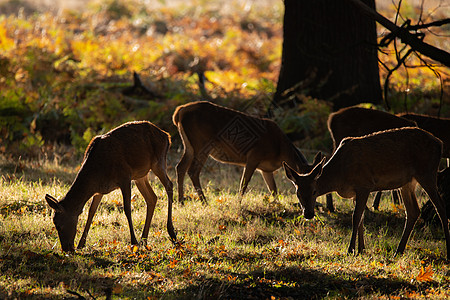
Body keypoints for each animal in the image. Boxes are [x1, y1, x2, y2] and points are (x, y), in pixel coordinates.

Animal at [44, 120, 176, 252]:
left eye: (58, 225)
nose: (66, 248)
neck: (97, 173)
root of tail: (167, 136)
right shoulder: (100, 190)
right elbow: (91, 212)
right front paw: (81, 244)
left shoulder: (125, 177)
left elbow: (127, 209)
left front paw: (133, 242)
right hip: (140, 175)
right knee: (152, 198)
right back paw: (144, 240)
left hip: (158, 162)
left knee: (169, 185)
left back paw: (171, 233)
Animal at [172, 101, 320, 204]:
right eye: (299, 189)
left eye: (315, 187)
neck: (280, 150)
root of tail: (178, 113)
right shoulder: (253, 155)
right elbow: (244, 184)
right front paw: (238, 204)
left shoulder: (266, 169)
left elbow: (273, 190)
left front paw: (278, 206)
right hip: (201, 143)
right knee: (193, 170)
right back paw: (204, 202)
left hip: (189, 145)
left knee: (180, 167)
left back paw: (181, 201)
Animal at [284, 126, 450, 258]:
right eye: (298, 194)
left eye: (314, 191)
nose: (308, 214)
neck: (340, 175)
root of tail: (440, 143)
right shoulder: (355, 192)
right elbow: (361, 218)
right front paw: (361, 249)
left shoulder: (364, 185)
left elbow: (356, 217)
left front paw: (351, 249)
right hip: (408, 183)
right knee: (413, 211)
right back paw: (399, 251)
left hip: (427, 173)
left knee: (441, 208)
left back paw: (447, 250)